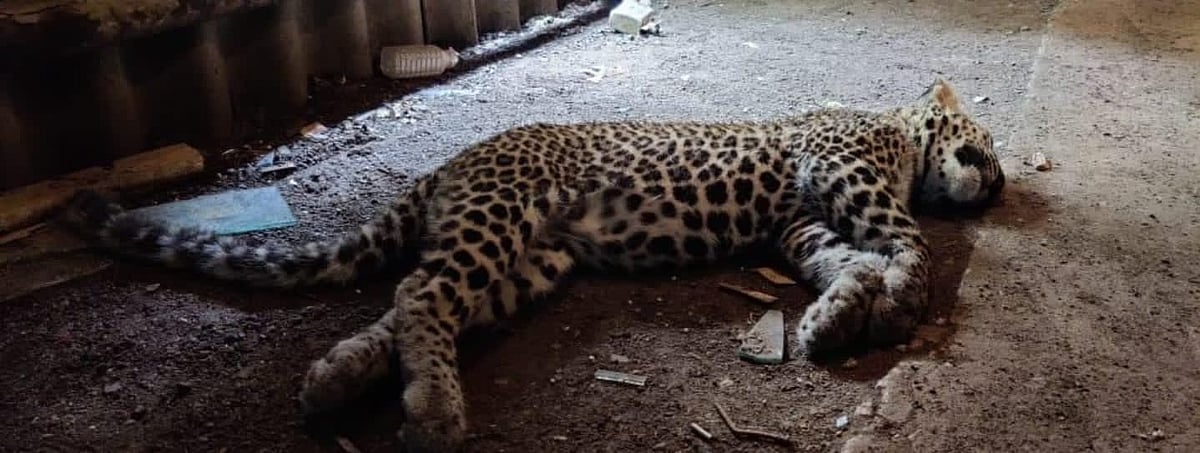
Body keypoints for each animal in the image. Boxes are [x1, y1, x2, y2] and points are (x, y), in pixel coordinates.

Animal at [62, 79, 1003, 452]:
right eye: (987, 140)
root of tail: (451, 165)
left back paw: (337, 379)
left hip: (530, 259)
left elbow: (844, 258)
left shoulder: (801, 222)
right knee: (418, 290)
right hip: (502, 217)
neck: (899, 136)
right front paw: (898, 299)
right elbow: (908, 241)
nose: (996, 184)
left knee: (413, 306)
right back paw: (434, 414)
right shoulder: (839, 169)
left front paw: (840, 312)